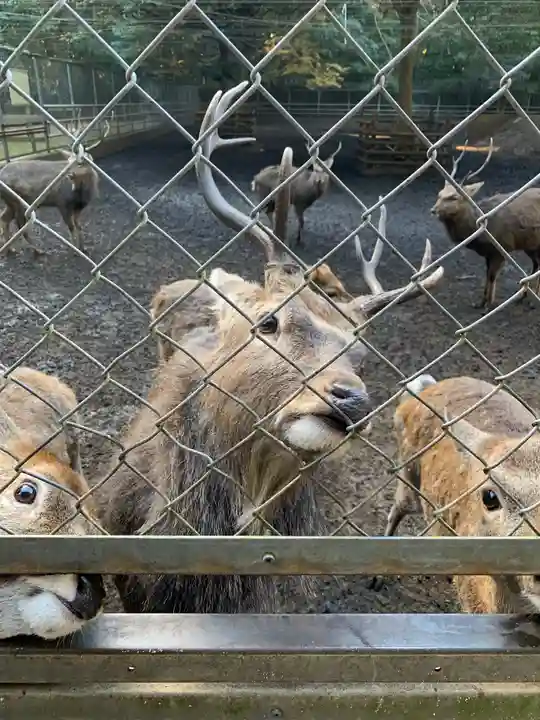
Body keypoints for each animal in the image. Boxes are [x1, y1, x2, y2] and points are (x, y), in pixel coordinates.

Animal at [0, 111, 111, 256]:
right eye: (68, 161)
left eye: (80, 162)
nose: (69, 175)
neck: (81, 194)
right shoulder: (62, 202)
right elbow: (71, 227)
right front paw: (75, 249)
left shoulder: (78, 207)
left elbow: (79, 226)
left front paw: (83, 247)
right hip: (18, 200)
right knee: (20, 225)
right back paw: (38, 249)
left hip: (10, 201)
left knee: (4, 218)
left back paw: (10, 248)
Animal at [431, 137, 540, 308]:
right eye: (439, 194)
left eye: (454, 197)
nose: (433, 210)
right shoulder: (489, 253)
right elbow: (487, 274)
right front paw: (481, 302)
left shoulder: (502, 247)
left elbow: (492, 276)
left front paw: (489, 304)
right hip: (530, 244)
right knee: (536, 265)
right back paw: (523, 296)